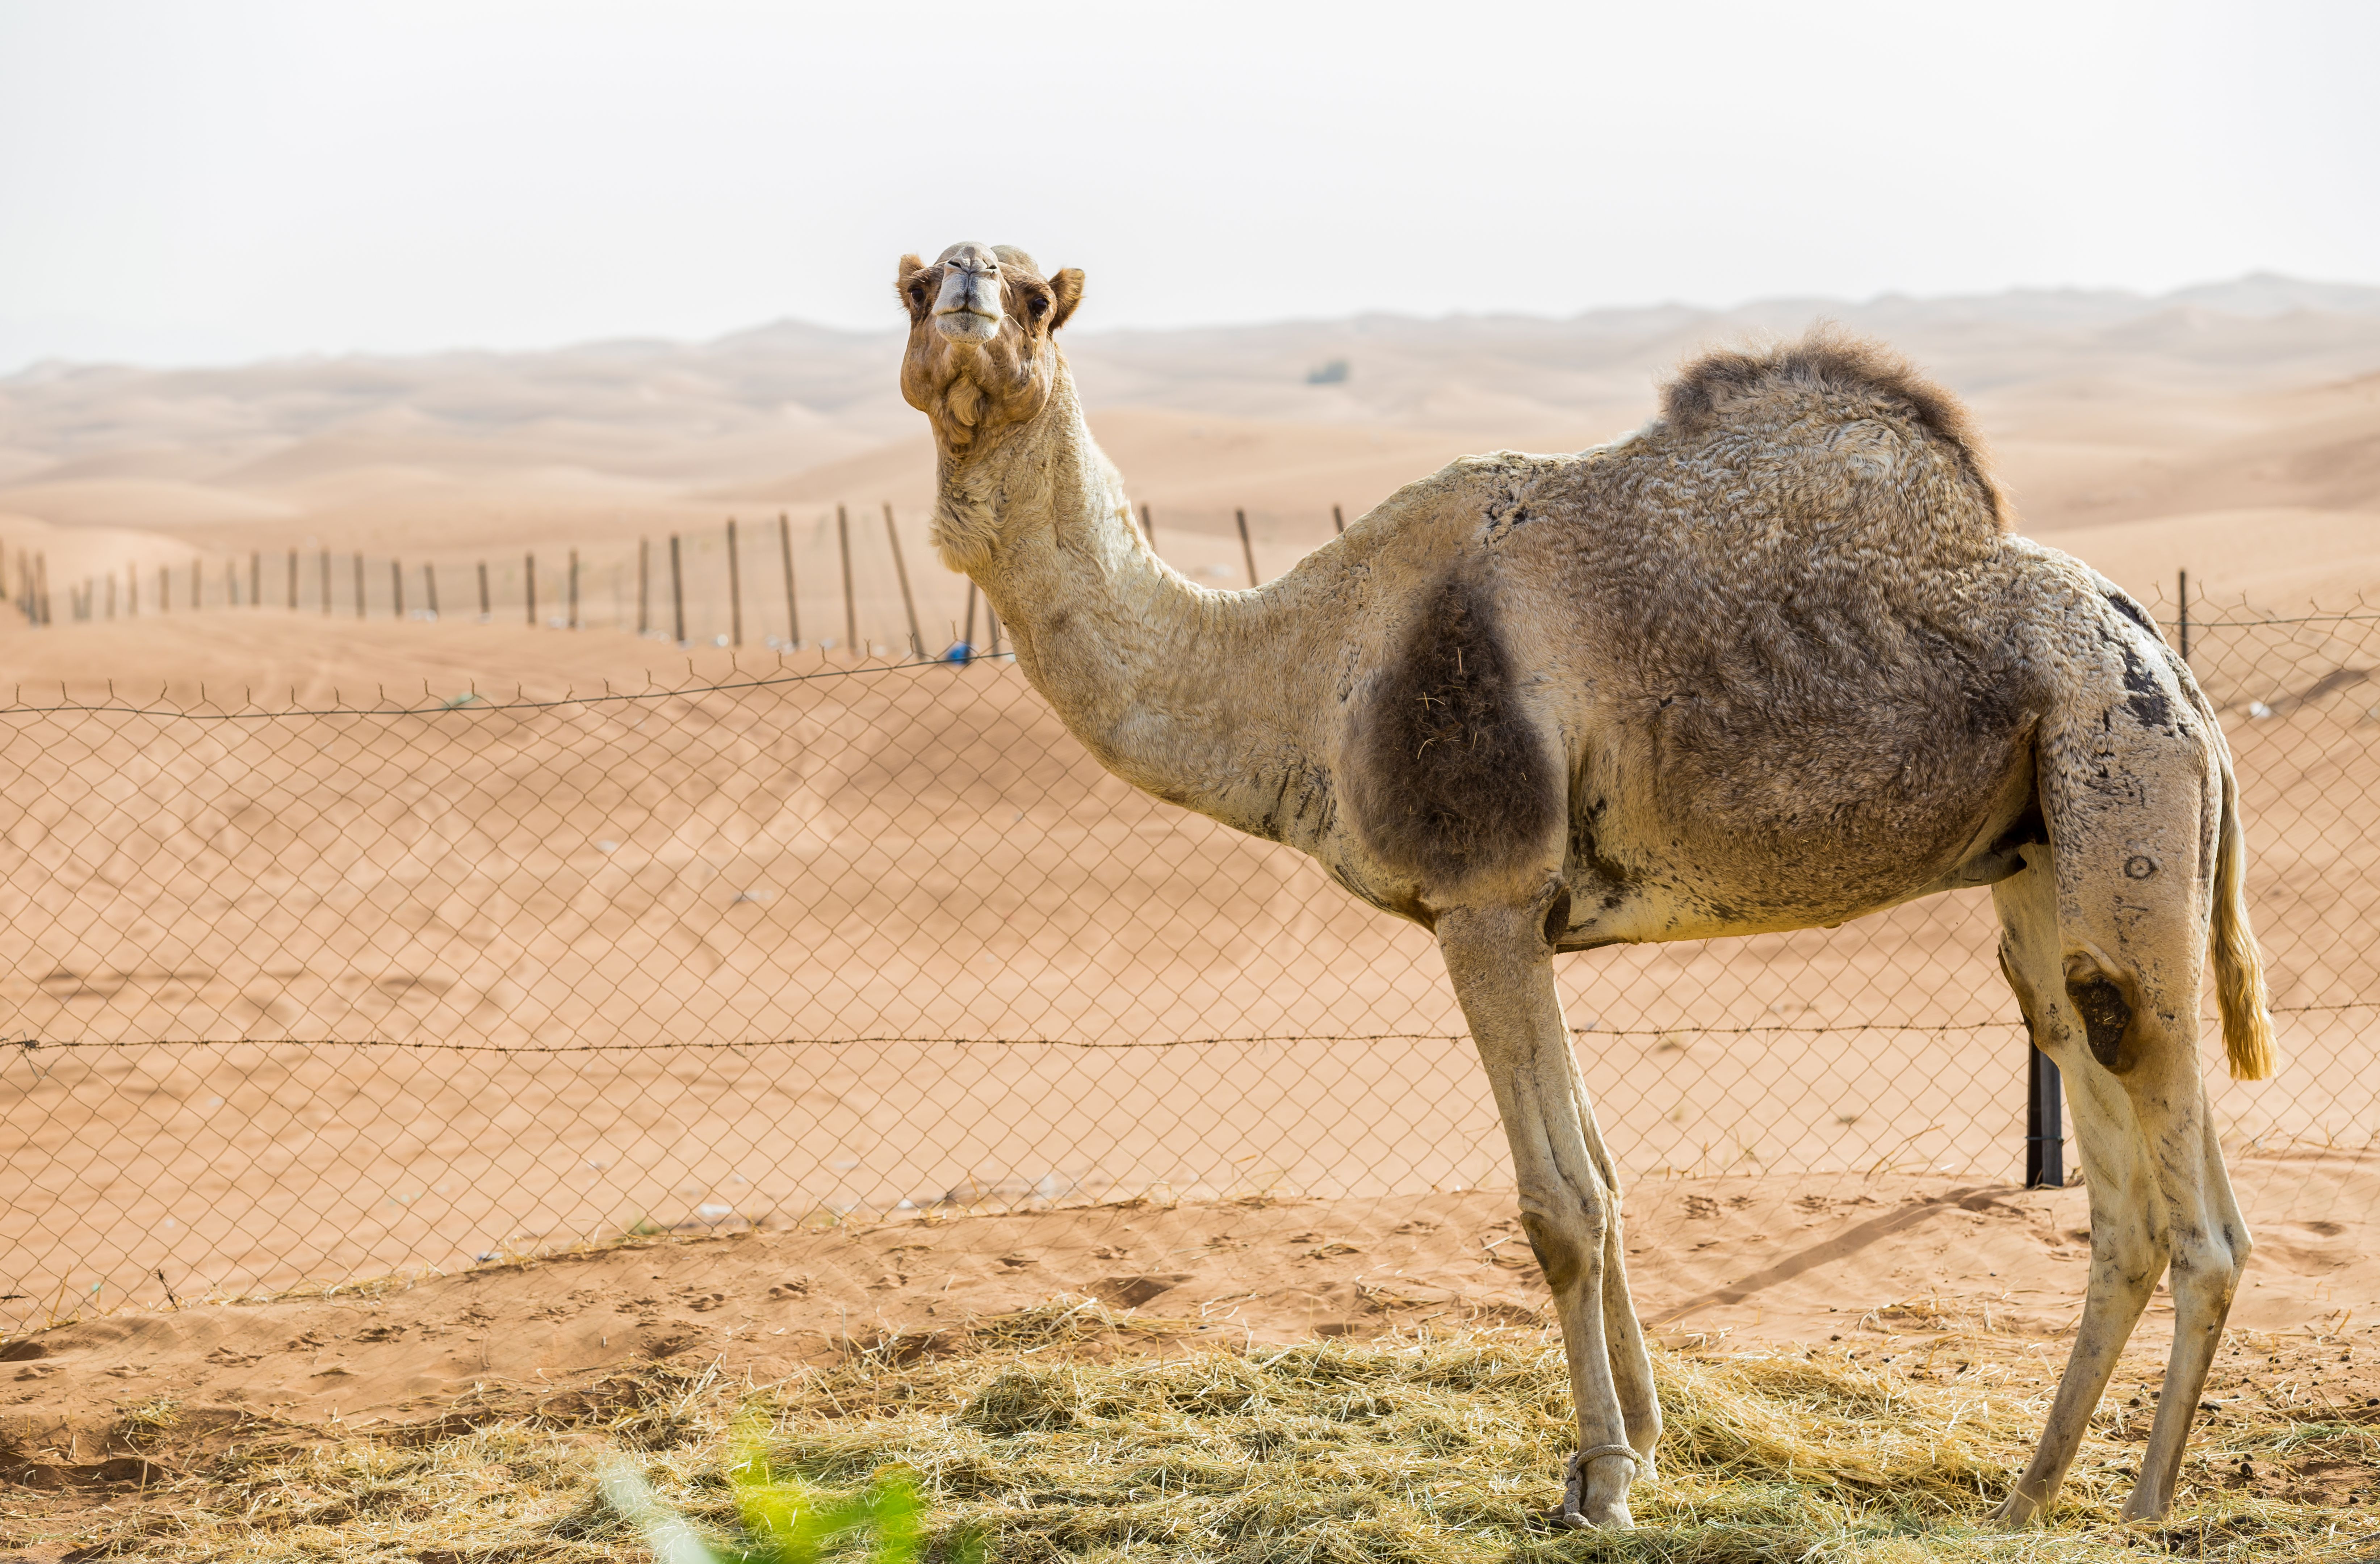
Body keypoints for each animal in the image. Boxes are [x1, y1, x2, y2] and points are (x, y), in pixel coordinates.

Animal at [893, 241, 2278, 1529]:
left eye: (1032, 296)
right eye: (912, 288)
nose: (963, 293)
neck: (1304, 667)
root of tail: (2169, 664)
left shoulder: (1485, 899)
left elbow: (1558, 1204)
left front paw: (1600, 1482)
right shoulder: (1531, 919)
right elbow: (1605, 1179)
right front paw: (1642, 1449)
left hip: (2120, 780)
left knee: (2189, 1189)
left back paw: (2144, 1505)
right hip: (2046, 860)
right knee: (2117, 1161)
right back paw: (2027, 1496)